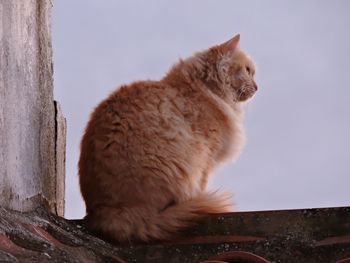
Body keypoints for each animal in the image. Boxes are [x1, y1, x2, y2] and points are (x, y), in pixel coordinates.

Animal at [78, 34, 258, 244]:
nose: (257, 87)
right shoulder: (207, 157)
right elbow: (203, 183)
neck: (202, 88)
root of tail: (110, 213)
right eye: (248, 71)